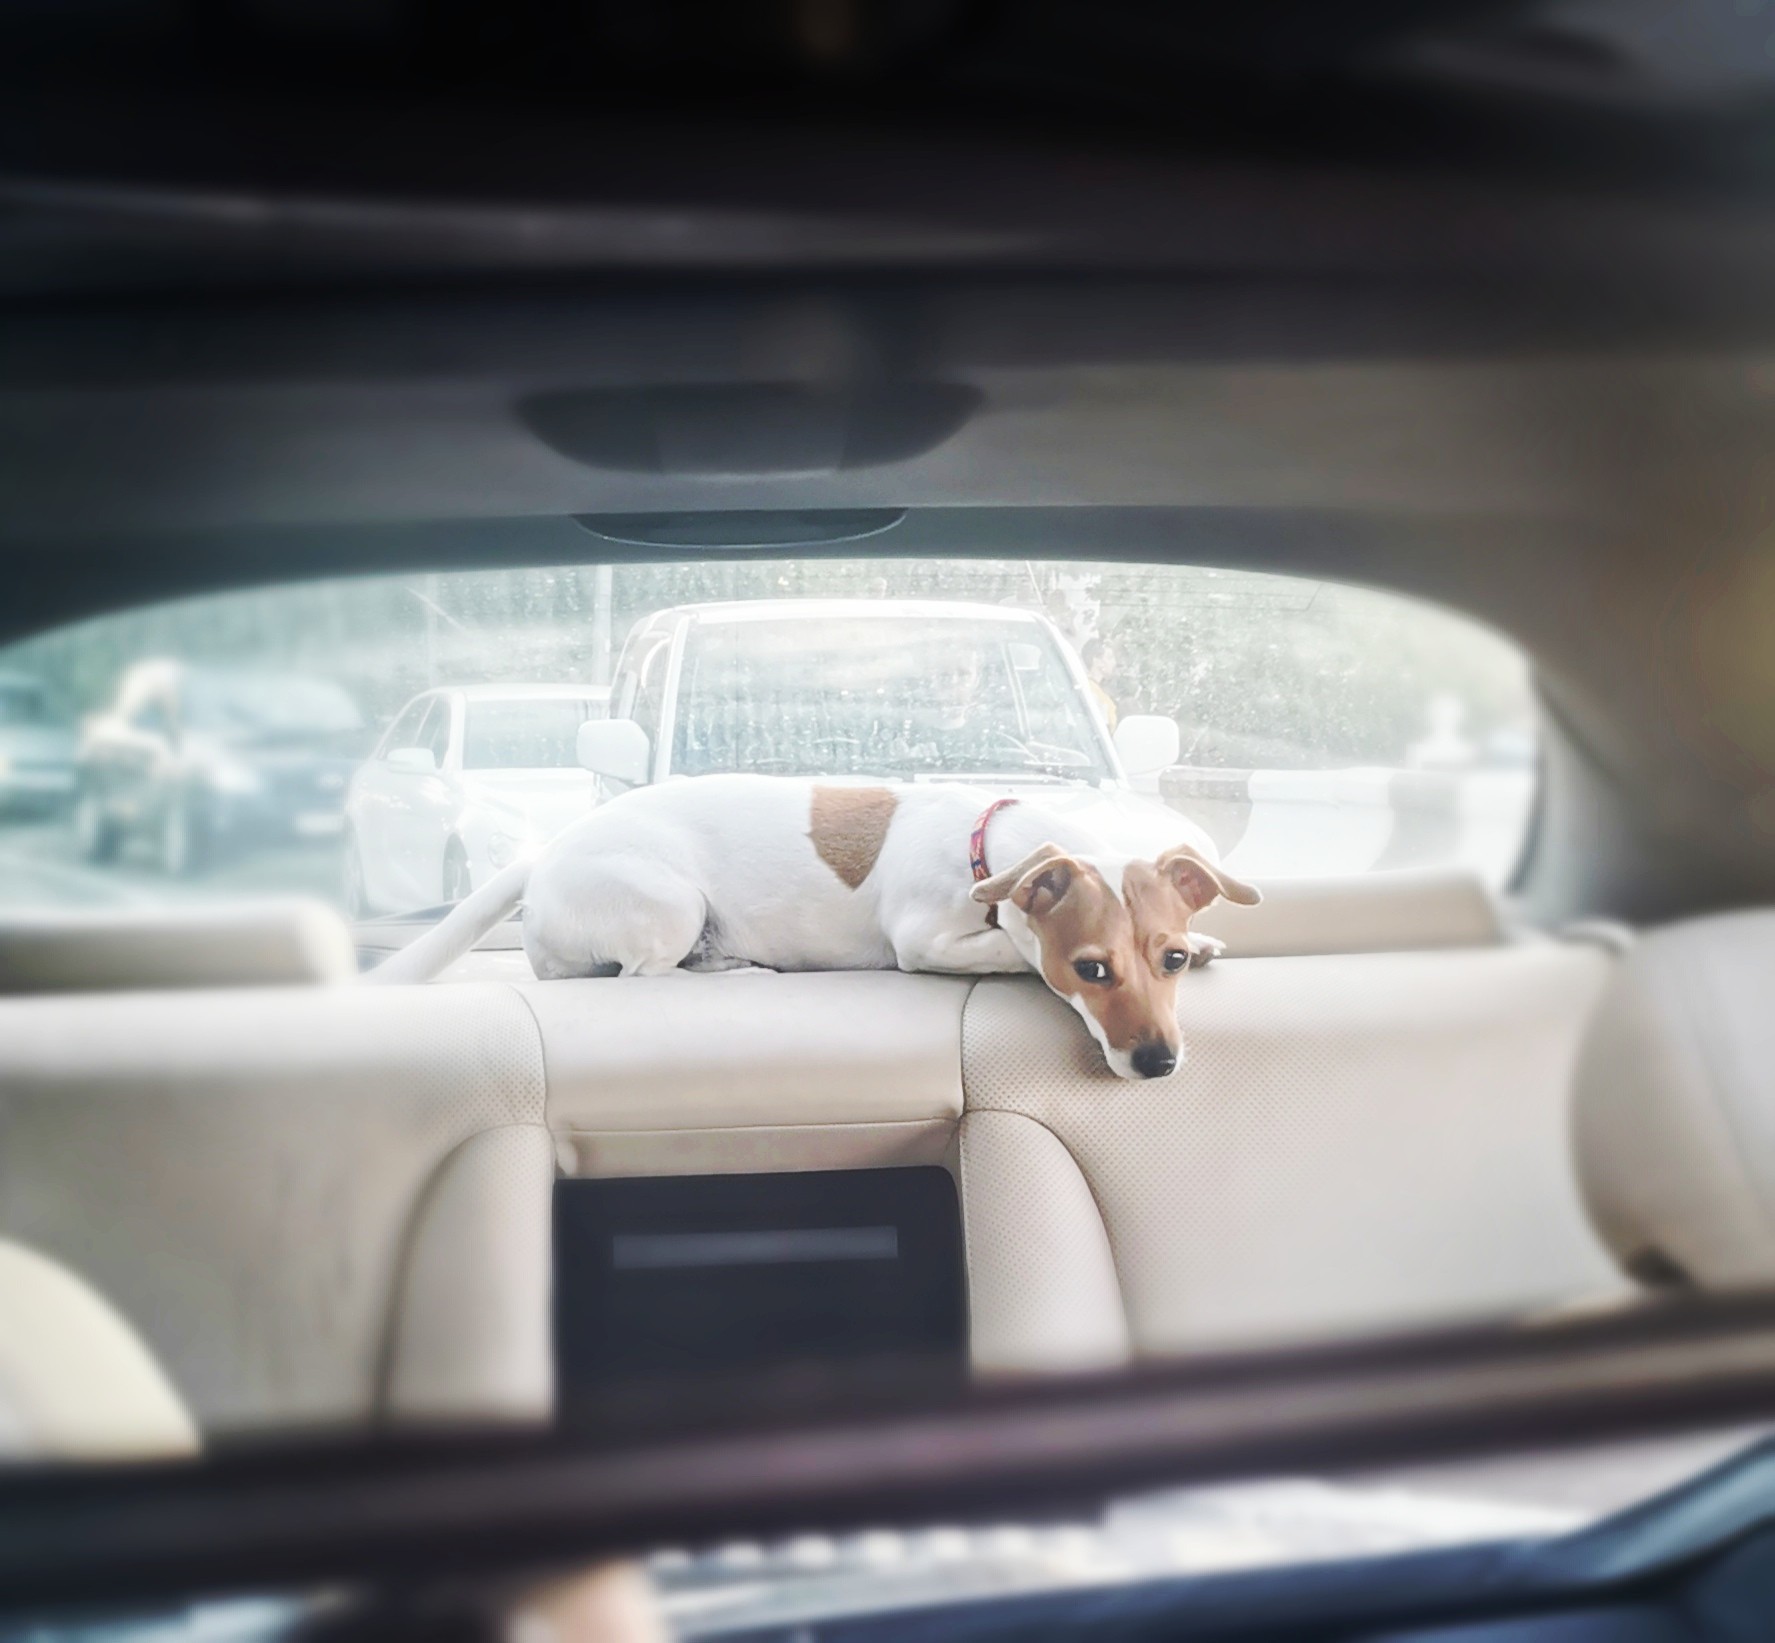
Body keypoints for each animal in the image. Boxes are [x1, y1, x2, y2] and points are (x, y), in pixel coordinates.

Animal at [370, 777, 1263, 1085]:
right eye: (1089, 969)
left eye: (1168, 957)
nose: (1158, 1063)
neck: (987, 841)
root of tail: (544, 855)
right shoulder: (924, 941)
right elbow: (1010, 943)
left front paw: (1211, 942)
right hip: (669, 901)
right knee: (640, 974)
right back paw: (731, 968)